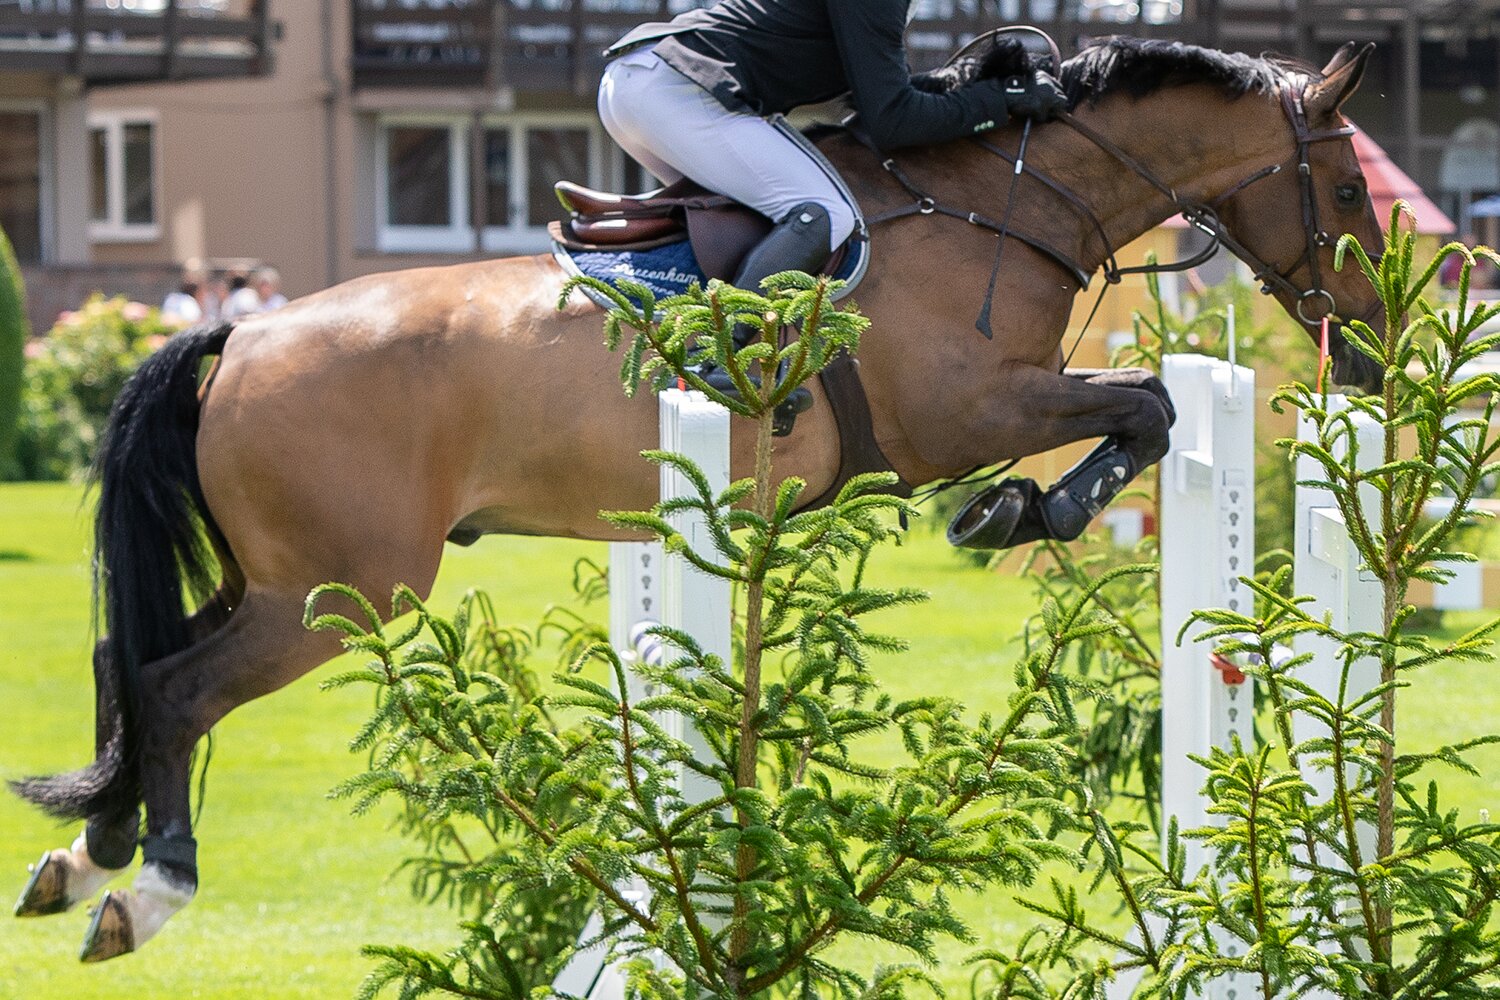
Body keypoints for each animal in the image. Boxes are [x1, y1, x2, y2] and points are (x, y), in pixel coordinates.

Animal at [11, 35, 1386, 962]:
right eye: (1350, 190)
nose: (1374, 351)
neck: (997, 209)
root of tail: (241, 334)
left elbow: (1145, 404)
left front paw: (1016, 514)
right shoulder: (968, 413)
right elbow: (1146, 405)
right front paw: (1019, 514)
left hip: (280, 578)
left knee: (128, 660)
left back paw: (86, 856)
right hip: (346, 588)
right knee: (177, 688)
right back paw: (150, 887)